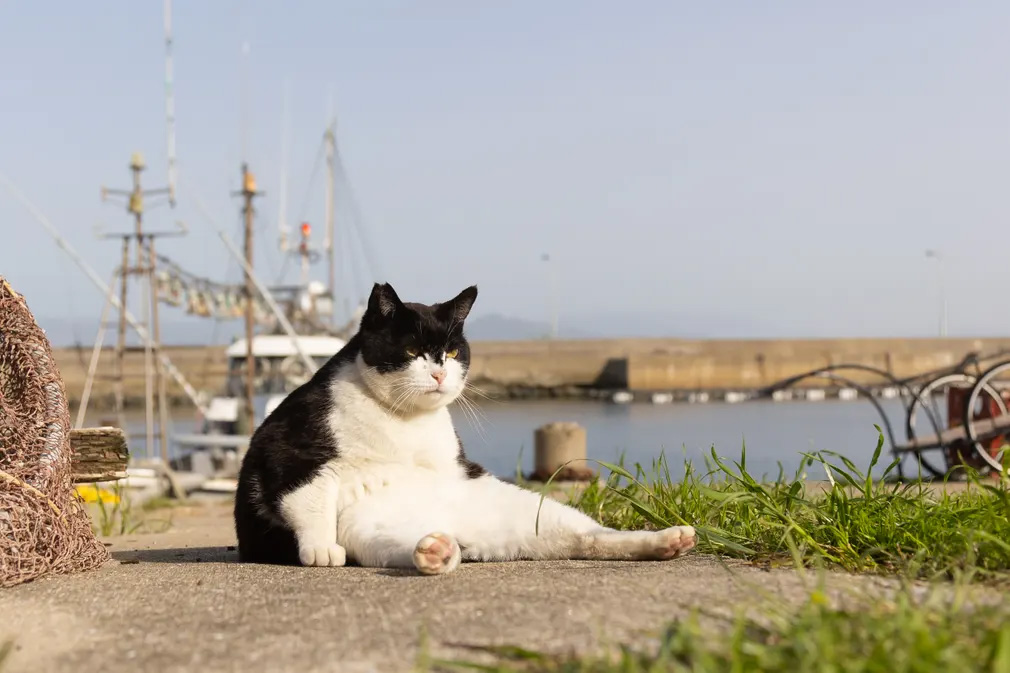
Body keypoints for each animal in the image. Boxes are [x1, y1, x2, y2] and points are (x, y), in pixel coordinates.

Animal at [234, 280, 694, 569]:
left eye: (453, 352)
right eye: (413, 350)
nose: (439, 373)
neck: (403, 421)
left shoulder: (455, 466)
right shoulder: (289, 451)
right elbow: (310, 502)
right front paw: (319, 549)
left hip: (528, 510)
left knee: (588, 537)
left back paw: (666, 541)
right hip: (365, 530)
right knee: (406, 547)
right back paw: (437, 551)